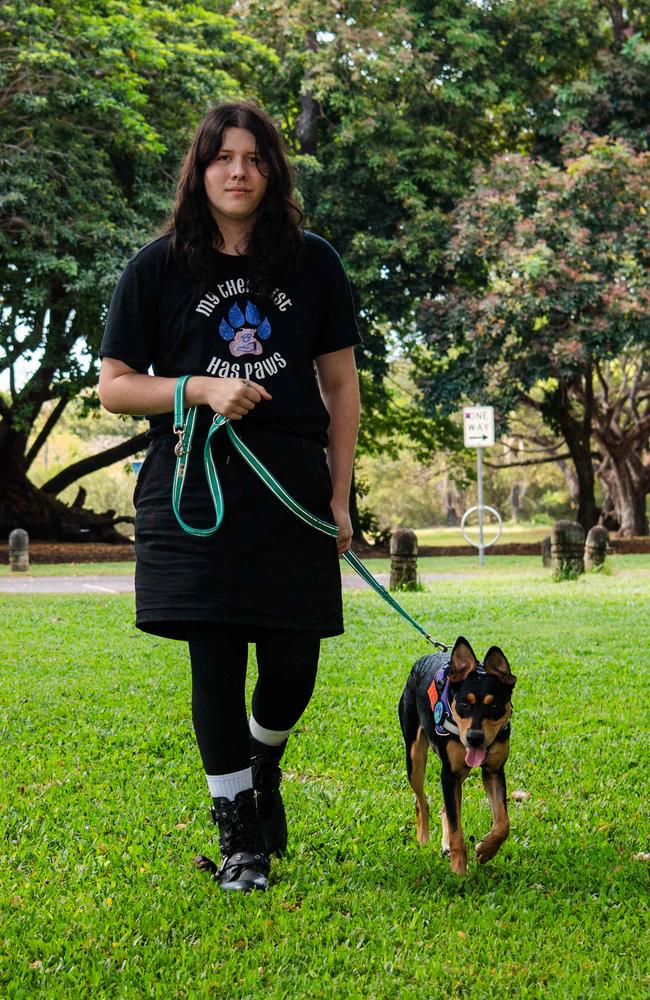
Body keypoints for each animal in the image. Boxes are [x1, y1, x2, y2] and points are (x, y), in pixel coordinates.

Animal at [394, 636, 516, 872]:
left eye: (495, 706)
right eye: (464, 704)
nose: (474, 738)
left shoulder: (493, 770)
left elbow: (503, 823)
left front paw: (487, 849)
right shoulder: (449, 774)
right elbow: (456, 830)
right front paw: (459, 872)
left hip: (461, 771)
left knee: (444, 809)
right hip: (415, 759)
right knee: (421, 802)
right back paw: (424, 839)